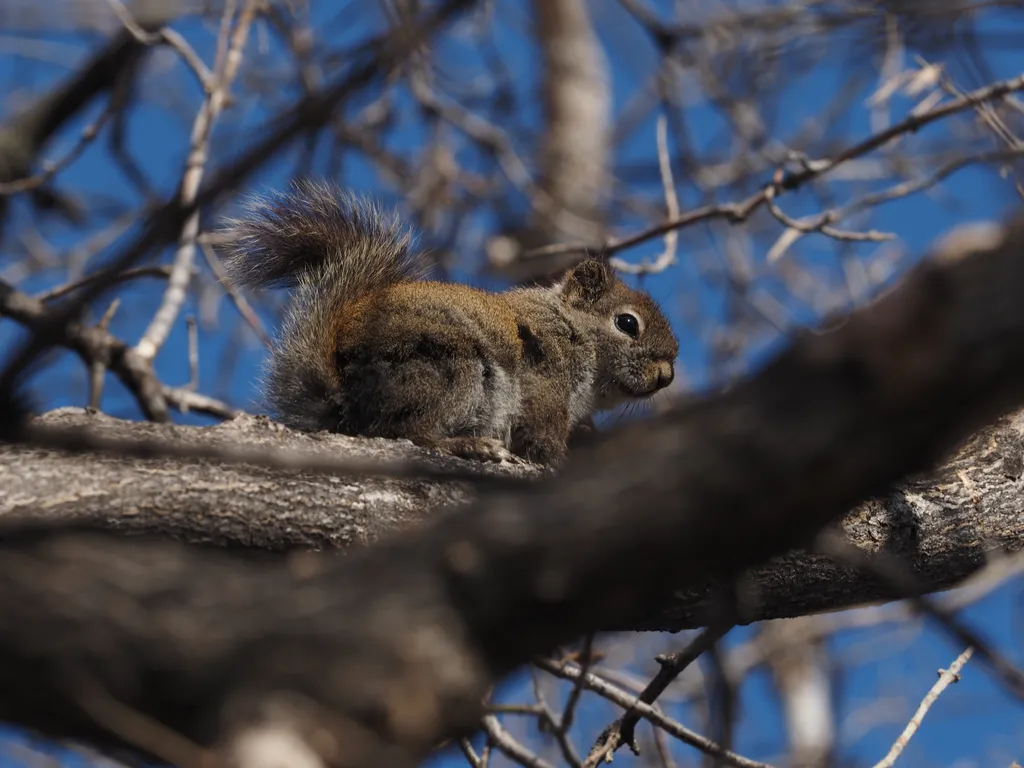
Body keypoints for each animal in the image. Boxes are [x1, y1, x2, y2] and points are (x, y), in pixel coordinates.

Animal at [220, 183, 675, 466]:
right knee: (404, 432)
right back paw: (468, 445)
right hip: (450, 370)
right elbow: (541, 436)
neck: (572, 328)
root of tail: (343, 397)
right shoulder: (544, 380)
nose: (666, 376)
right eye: (627, 323)